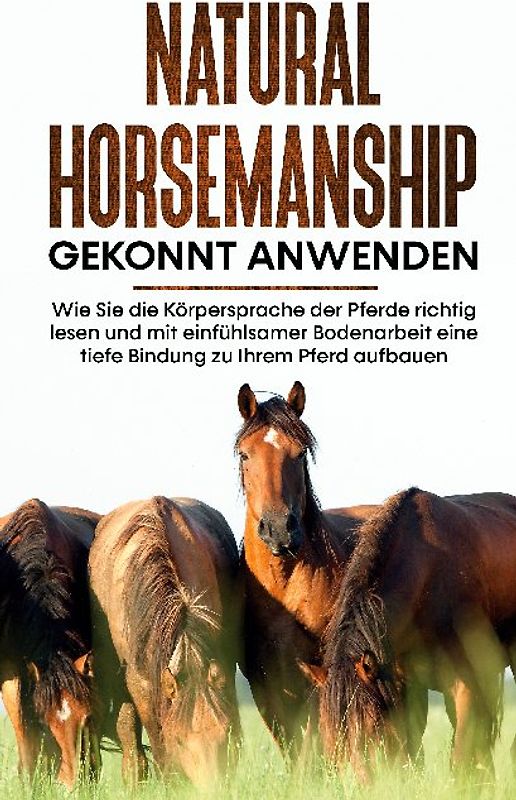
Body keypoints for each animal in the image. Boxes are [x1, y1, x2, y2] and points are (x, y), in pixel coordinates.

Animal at [308, 487, 516, 779]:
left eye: (372, 727)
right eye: (329, 736)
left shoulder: (464, 684)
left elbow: (461, 758)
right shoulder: (403, 686)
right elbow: (412, 754)